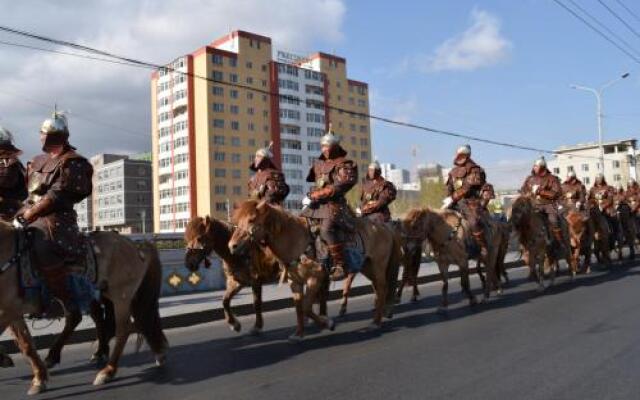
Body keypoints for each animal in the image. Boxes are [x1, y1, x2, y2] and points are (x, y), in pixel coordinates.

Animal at [0, 223, 168, 396]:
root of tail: (136, 246)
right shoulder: (12, 311)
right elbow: (26, 344)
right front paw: (39, 379)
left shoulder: (7, 312)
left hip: (121, 296)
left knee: (122, 330)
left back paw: (107, 371)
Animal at [229, 202, 400, 330]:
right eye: (237, 222)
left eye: (251, 219)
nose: (232, 245)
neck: (296, 240)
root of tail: (384, 227)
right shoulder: (295, 282)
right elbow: (299, 308)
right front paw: (298, 334)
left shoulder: (315, 278)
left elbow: (306, 307)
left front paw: (327, 323)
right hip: (367, 267)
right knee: (379, 288)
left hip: (378, 265)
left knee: (382, 288)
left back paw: (376, 322)